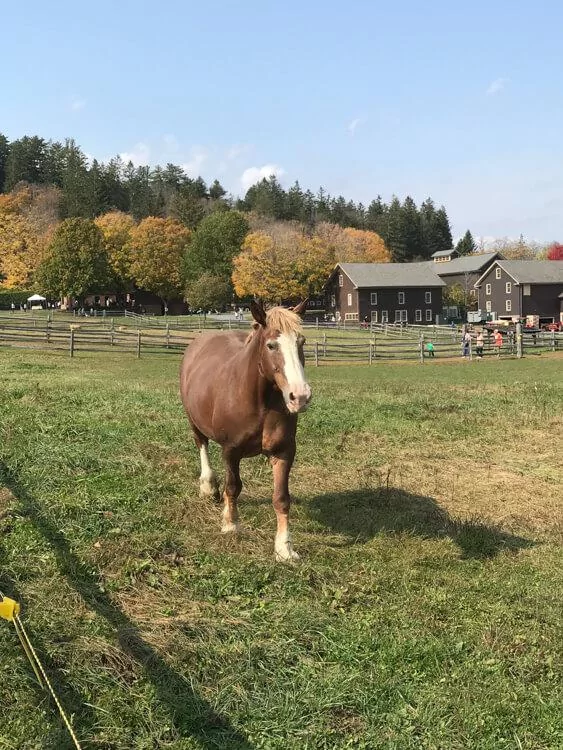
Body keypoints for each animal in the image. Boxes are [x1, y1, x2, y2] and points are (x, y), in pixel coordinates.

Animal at [181, 300, 312, 564]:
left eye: (301, 342)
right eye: (271, 345)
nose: (300, 396)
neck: (259, 400)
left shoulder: (284, 451)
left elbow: (281, 498)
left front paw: (284, 548)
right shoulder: (231, 450)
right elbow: (233, 486)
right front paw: (231, 524)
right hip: (194, 422)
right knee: (202, 445)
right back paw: (208, 486)